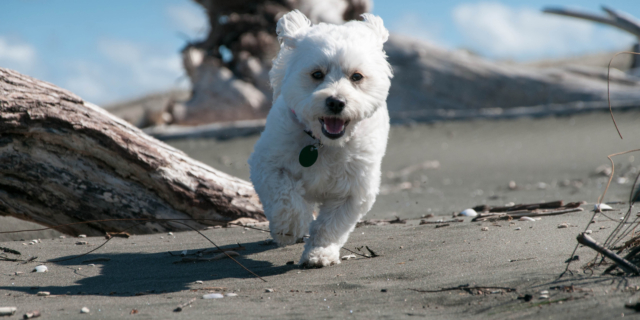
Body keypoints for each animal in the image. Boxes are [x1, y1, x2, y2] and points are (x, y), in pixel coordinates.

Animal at [248, 10, 392, 268]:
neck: (322, 144)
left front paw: (320, 251)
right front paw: (290, 227)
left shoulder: (354, 190)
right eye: (317, 74)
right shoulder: (268, 165)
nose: (336, 102)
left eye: (357, 76)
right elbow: (285, 196)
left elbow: (332, 225)